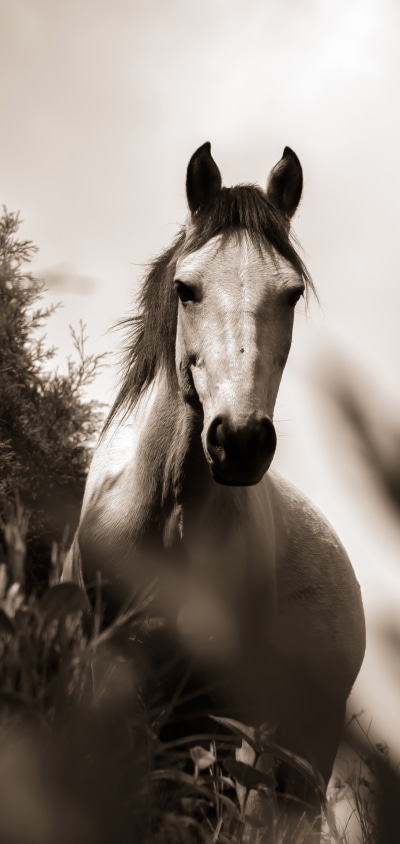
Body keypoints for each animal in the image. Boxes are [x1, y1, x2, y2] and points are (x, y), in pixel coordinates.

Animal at [63, 142, 366, 835]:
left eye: (291, 293)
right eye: (186, 288)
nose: (241, 440)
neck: (165, 516)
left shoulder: (209, 707)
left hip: (300, 745)